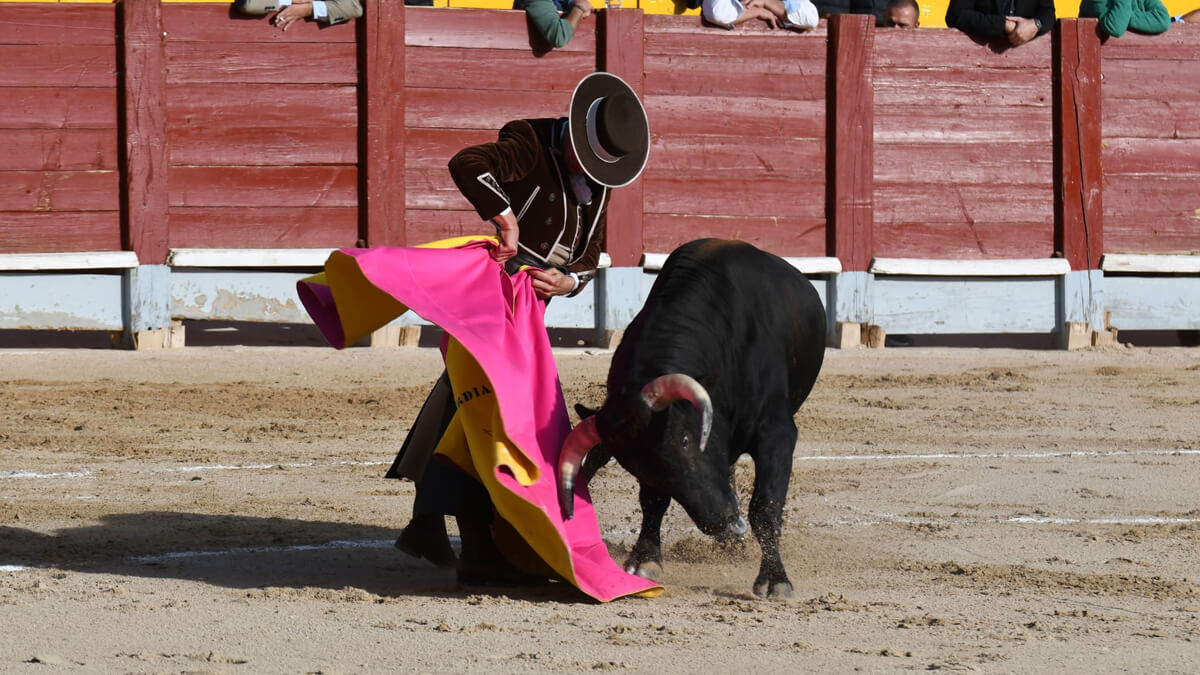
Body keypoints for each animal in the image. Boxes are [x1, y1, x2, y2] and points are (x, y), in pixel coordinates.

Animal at [554, 239, 825, 595]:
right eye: (637, 467)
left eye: (685, 439)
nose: (723, 523)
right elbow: (653, 500)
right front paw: (646, 559)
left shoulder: (776, 433)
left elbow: (765, 506)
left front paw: (774, 579)